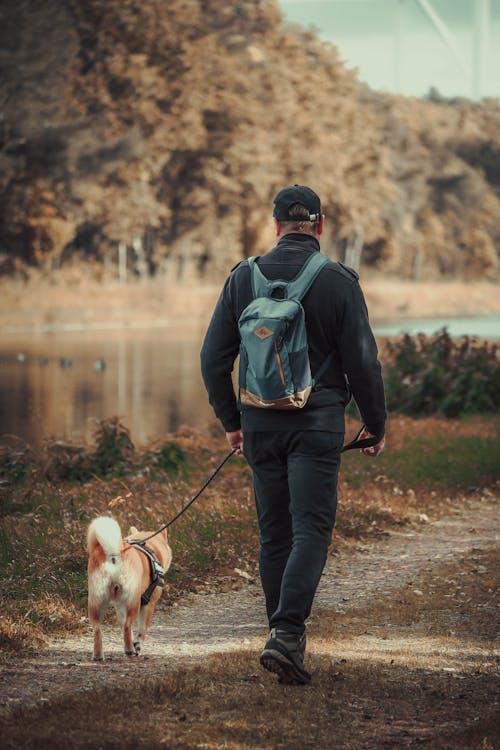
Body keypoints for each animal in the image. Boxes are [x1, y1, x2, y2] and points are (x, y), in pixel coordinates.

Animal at [86, 520, 172, 660]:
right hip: (133, 602)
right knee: (127, 625)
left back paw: (98, 655)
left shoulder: (120, 605)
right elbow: (142, 629)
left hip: (97, 603)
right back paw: (130, 650)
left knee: (98, 629)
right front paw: (137, 644)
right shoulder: (148, 604)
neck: (150, 547)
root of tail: (113, 554)